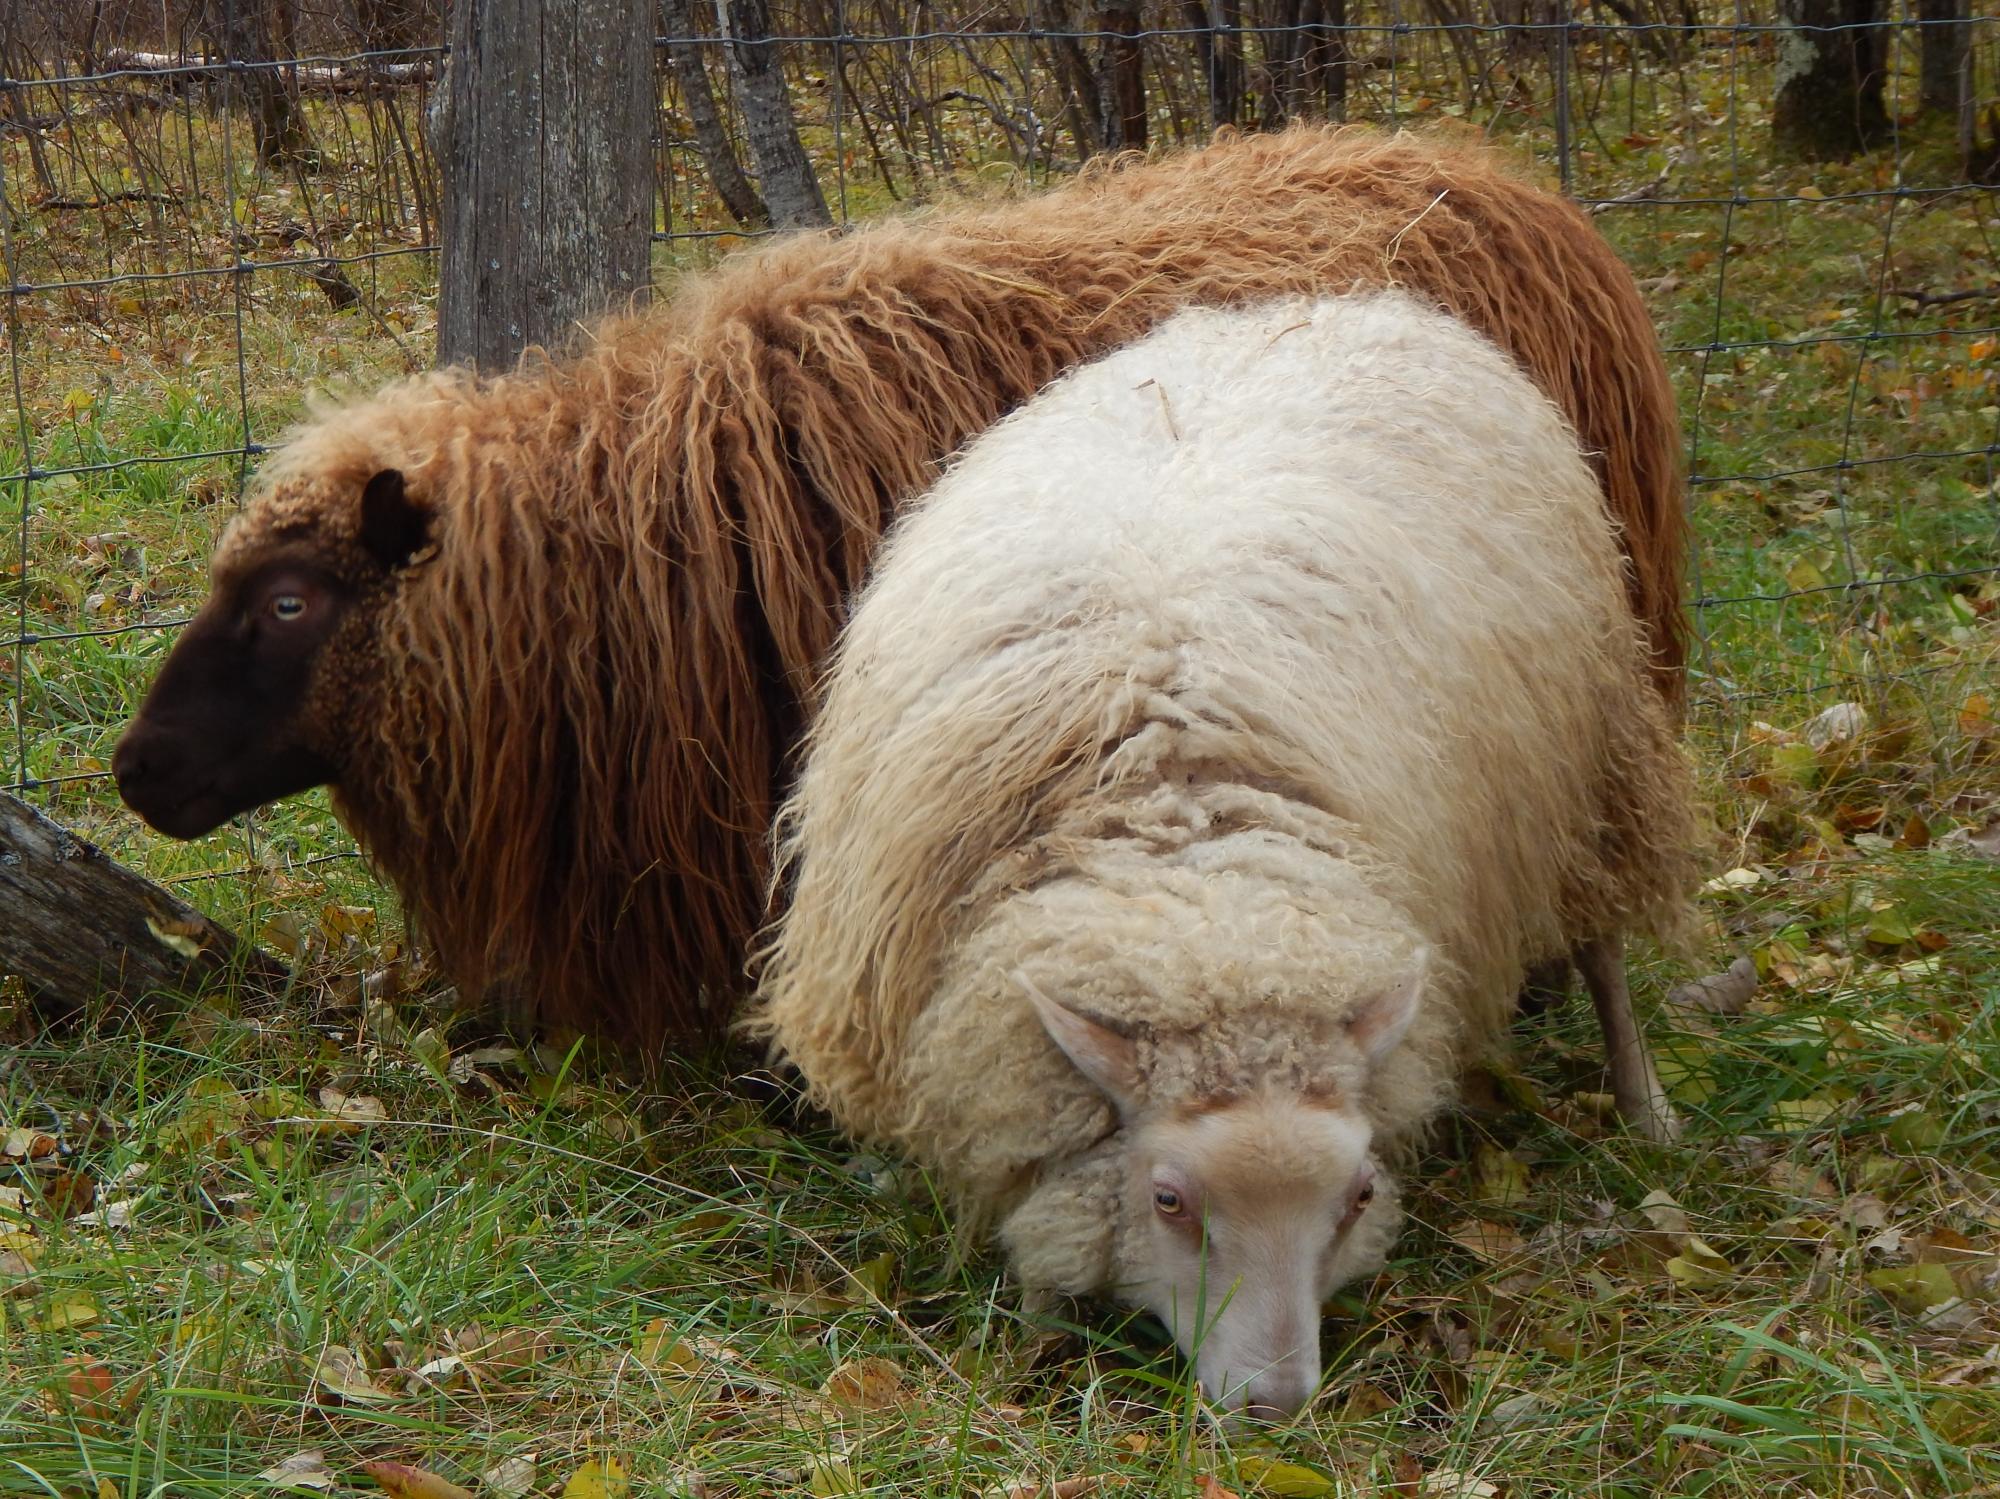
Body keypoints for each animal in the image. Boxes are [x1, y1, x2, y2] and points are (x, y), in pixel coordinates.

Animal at [747, 290, 1694, 1419]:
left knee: (1602, 948)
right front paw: (1035, 1329)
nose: (1274, 1403)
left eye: (1358, 1194)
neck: (1197, 887)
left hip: (1591, 768)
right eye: (1167, 1198)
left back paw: (1646, 1110)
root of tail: (1338, 301)